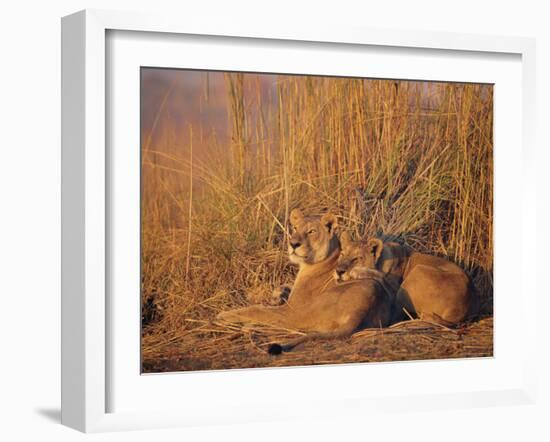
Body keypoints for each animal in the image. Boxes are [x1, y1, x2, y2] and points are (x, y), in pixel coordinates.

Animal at [217, 209, 402, 354]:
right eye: (295, 228)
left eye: (311, 232)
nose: (293, 244)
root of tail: (362, 310)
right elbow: (284, 288)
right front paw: (277, 295)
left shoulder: (291, 308)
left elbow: (256, 310)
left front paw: (223, 315)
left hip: (299, 313)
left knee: (283, 324)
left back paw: (247, 327)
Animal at [336, 231, 478, 324]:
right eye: (342, 254)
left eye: (356, 259)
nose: (338, 271)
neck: (381, 260)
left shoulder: (394, 289)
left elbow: (380, 276)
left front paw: (356, 272)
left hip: (416, 273)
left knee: (394, 316)